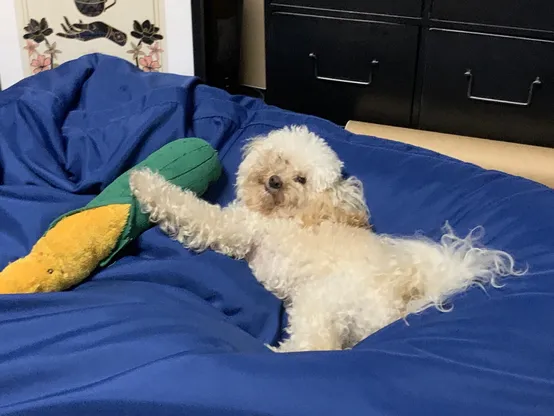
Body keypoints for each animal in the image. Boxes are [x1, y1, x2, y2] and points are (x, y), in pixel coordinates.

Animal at [128, 126, 516, 352]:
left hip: (319, 302)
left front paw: (143, 181)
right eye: (278, 158)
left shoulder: (235, 228)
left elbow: (188, 207)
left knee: (316, 347)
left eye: (300, 179)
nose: (274, 181)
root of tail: (399, 301)